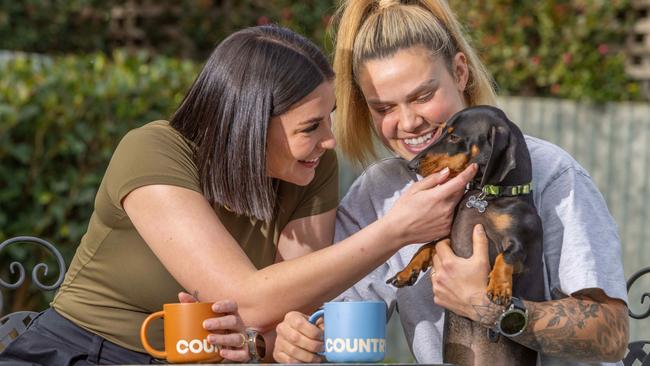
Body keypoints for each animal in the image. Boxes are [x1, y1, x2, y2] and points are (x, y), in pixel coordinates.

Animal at [388, 105, 544, 366]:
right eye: (442, 131)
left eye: (454, 137)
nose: (411, 165)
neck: (487, 197)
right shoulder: (448, 237)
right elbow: (426, 245)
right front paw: (407, 272)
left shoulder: (521, 244)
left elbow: (506, 255)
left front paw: (499, 287)